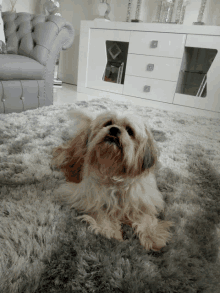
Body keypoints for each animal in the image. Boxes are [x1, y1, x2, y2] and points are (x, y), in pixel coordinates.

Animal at [52, 108, 173, 250]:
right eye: (108, 123)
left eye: (130, 131)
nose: (114, 129)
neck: (114, 173)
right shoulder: (87, 196)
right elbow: (100, 210)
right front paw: (110, 230)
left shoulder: (142, 200)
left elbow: (146, 218)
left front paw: (152, 236)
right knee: (61, 153)